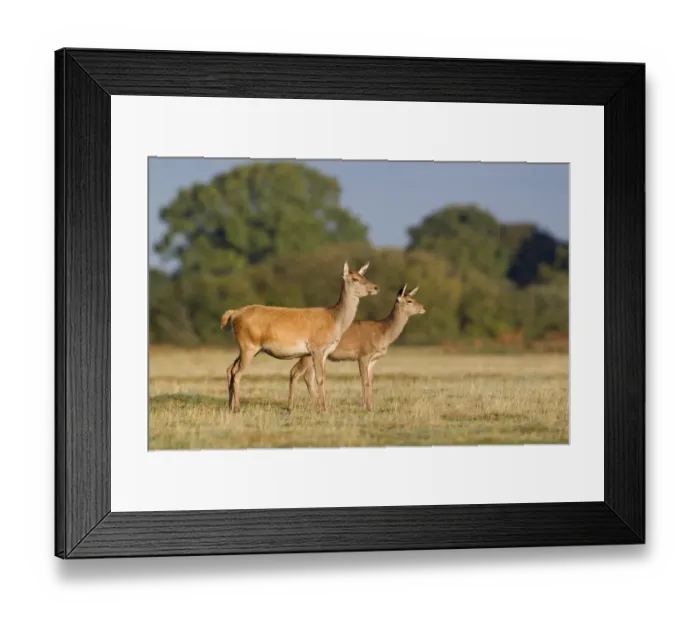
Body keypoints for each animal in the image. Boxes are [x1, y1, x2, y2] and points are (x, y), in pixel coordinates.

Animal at [220, 261, 379, 413]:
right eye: (355, 278)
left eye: (364, 275)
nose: (376, 287)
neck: (335, 320)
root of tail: (234, 314)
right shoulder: (317, 347)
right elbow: (320, 378)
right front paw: (324, 409)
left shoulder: (325, 352)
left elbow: (321, 377)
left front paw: (322, 408)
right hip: (248, 345)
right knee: (238, 373)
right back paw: (237, 408)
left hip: (249, 348)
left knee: (230, 369)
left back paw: (230, 406)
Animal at [287, 283, 425, 412]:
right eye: (409, 300)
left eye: (414, 297)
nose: (423, 308)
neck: (383, 332)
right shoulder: (363, 354)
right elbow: (364, 380)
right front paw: (366, 407)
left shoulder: (373, 359)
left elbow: (370, 381)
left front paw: (371, 406)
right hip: (309, 353)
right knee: (296, 372)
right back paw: (293, 406)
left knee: (307, 376)